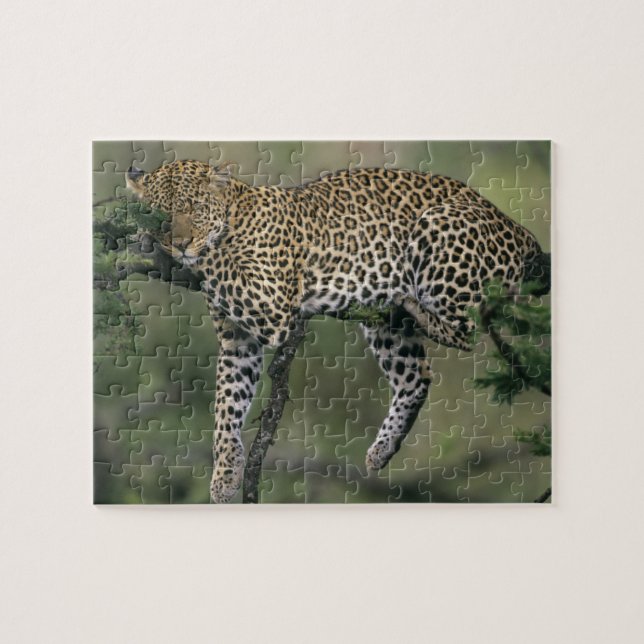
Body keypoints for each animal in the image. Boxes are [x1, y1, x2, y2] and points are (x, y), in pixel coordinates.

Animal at [125, 159, 549, 503]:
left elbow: (217, 261)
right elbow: (228, 405)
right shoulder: (236, 339)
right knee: (416, 376)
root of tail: (522, 232)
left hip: (440, 227)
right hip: (382, 324)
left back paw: (414, 304)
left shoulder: (269, 302)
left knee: (466, 329)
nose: (180, 244)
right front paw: (225, 475)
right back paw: (382, 450)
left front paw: (153, 242)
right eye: (160, 215)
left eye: (194, 210)